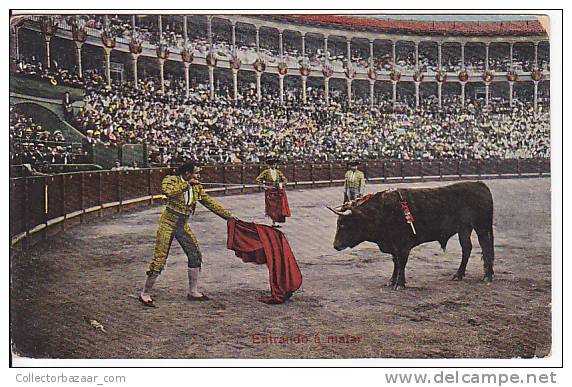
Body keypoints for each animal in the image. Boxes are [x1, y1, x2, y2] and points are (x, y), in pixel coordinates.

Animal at [328, 181, 494, 288]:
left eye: (344, 225)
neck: (383, 212)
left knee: (486, 247)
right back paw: (458, 275)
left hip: (482, 227)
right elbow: (395, 262)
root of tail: (479, 184)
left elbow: (401, 262)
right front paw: (391, 281)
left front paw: (400, 284)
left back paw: (487, 276)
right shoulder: (393, 245)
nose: (335, 246)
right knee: (467, 248)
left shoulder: (403, 245)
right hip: (464, 229)